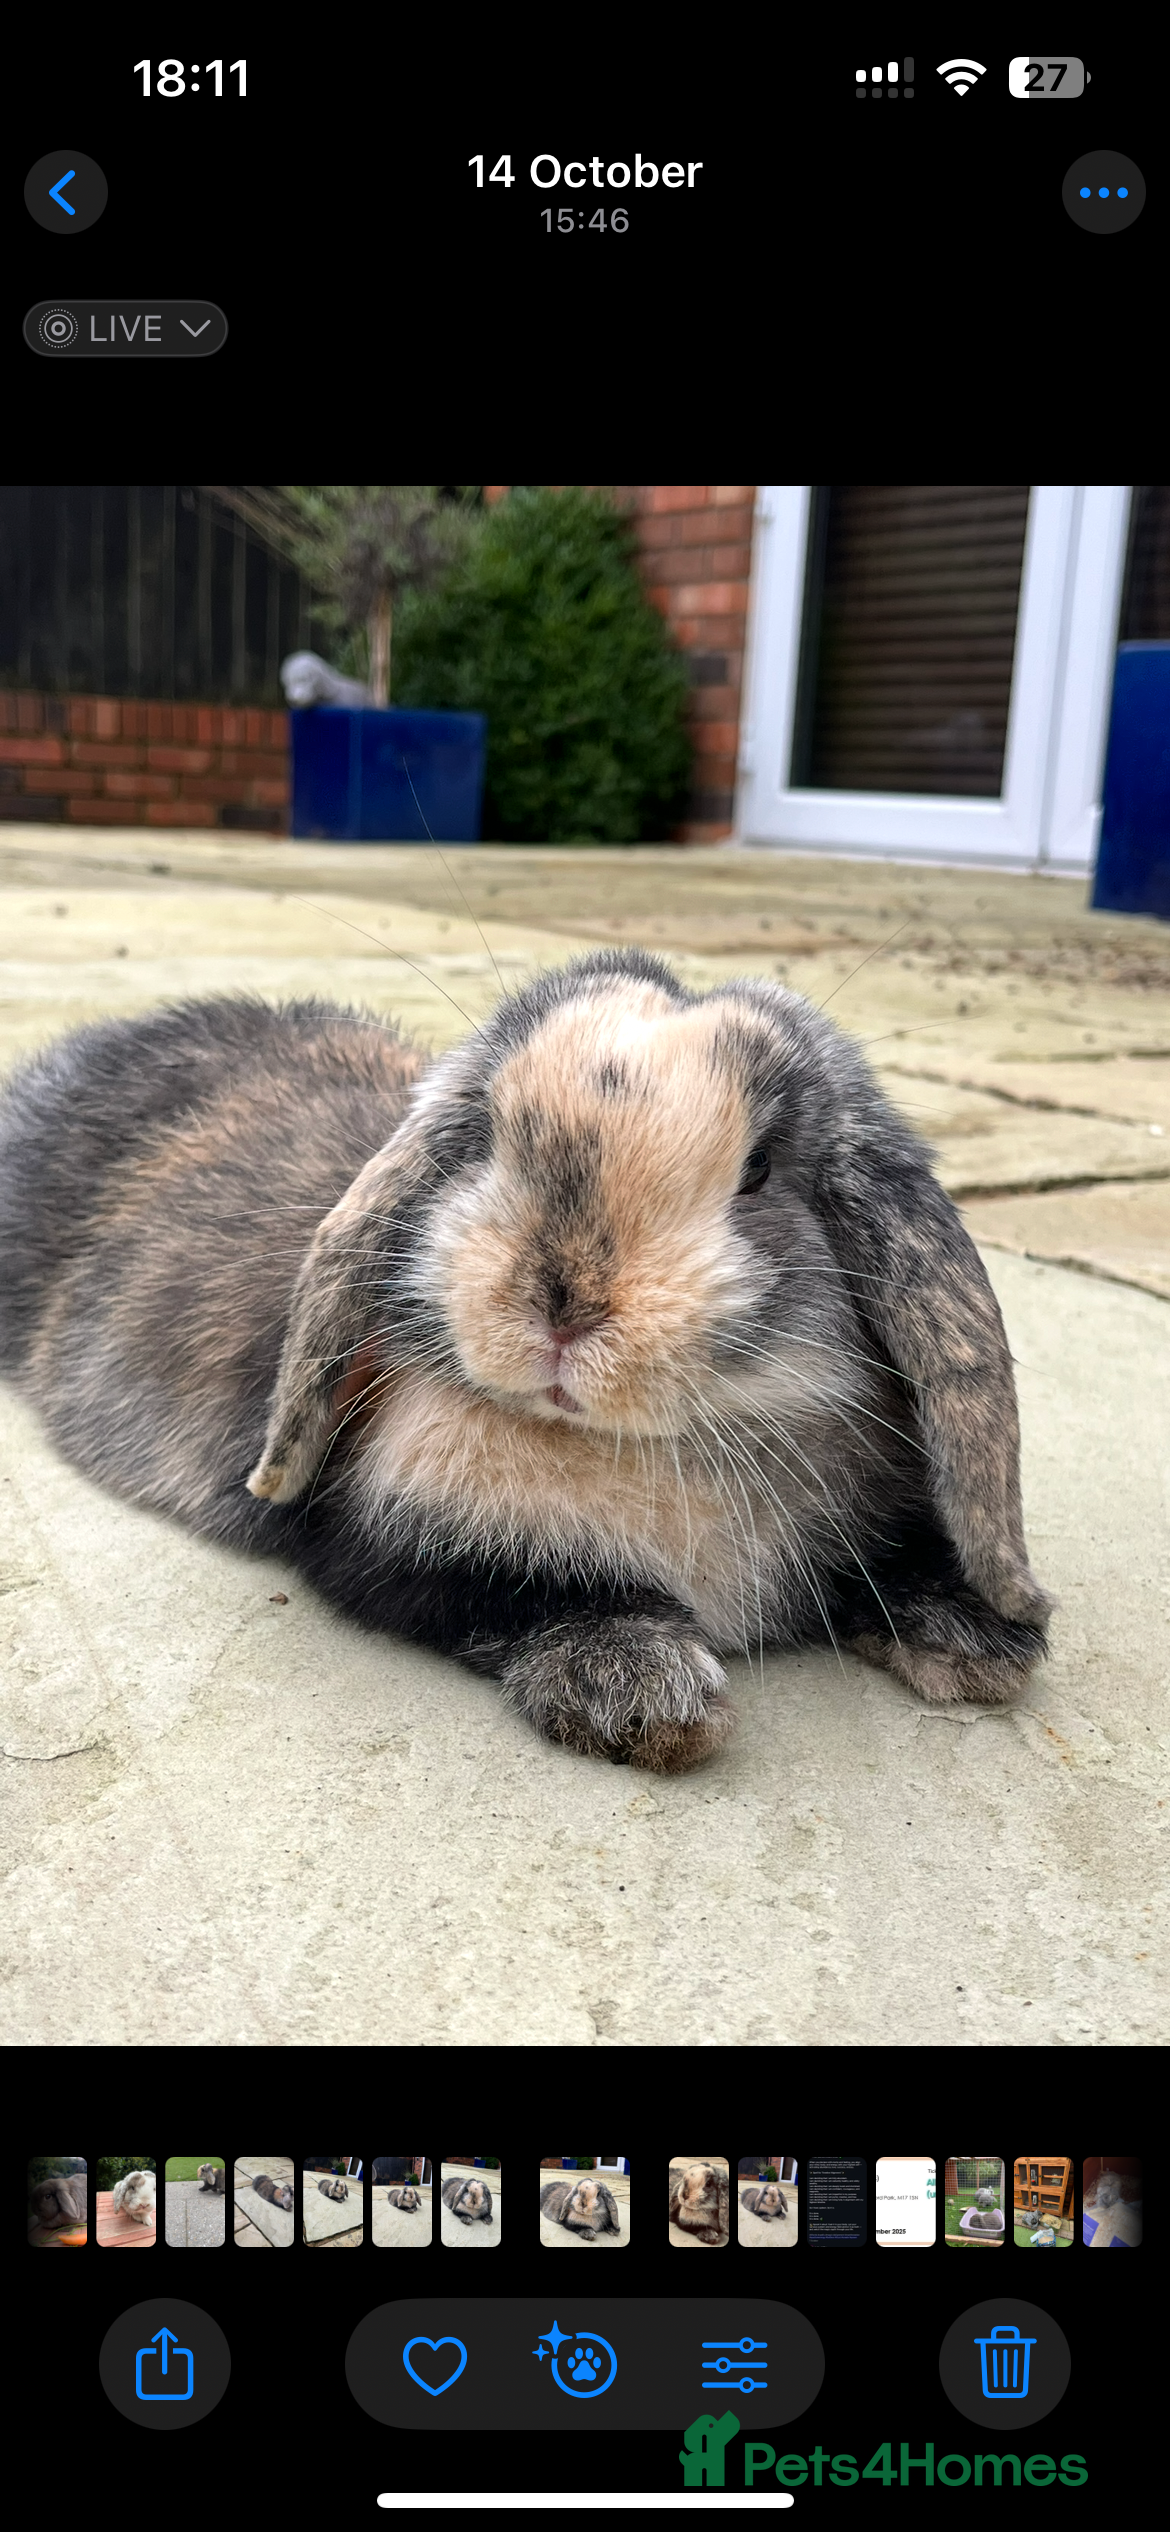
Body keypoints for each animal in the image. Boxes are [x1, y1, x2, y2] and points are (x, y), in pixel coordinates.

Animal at [0, 953, 1053, 1771]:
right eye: (492, 1141)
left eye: (758, 1171)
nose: (563, 1299)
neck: (660, 1445)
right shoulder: (399, 1547)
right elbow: (537, 1599)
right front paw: (647, 1694)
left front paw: (981, 1640)